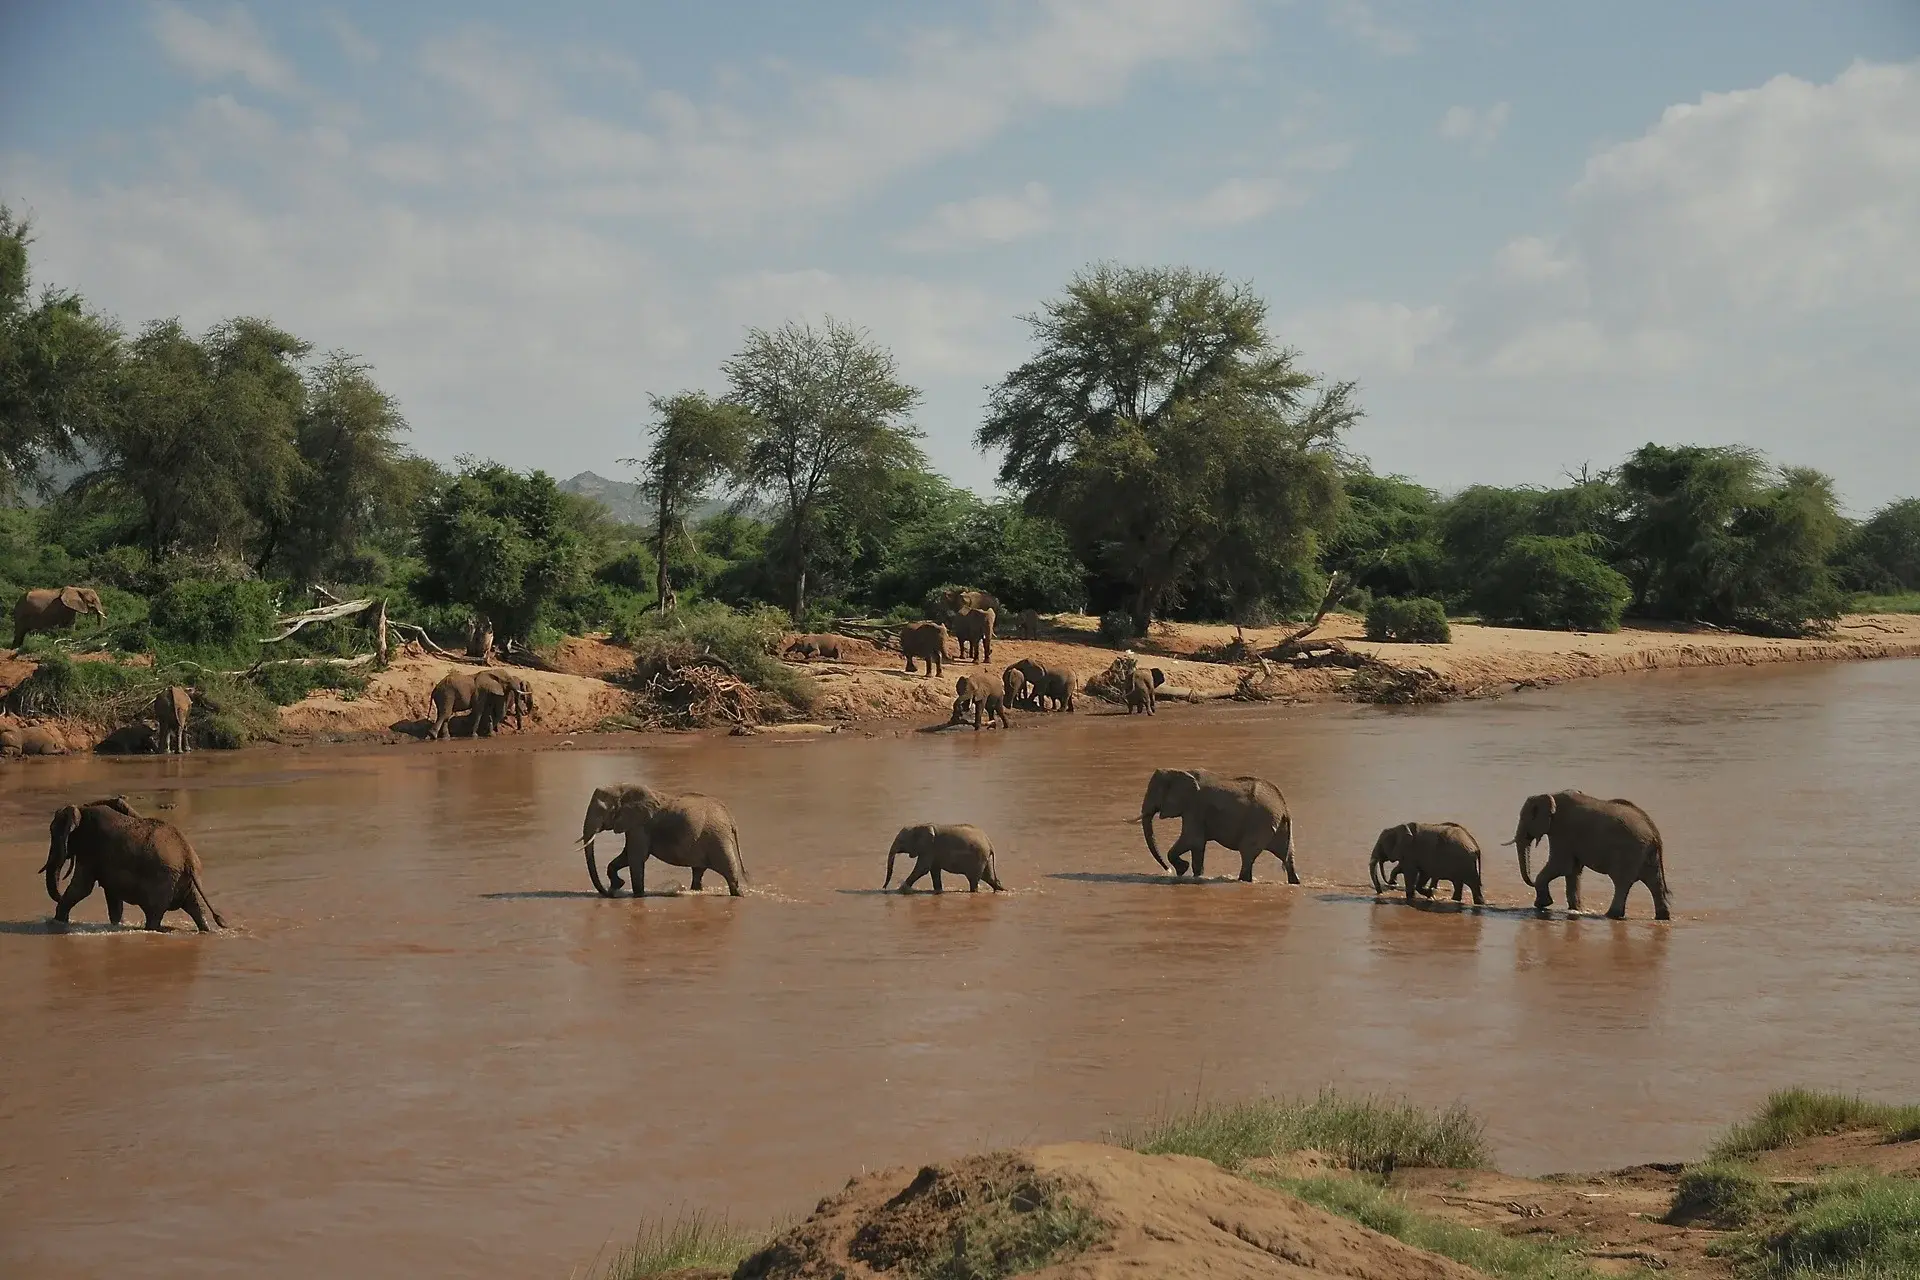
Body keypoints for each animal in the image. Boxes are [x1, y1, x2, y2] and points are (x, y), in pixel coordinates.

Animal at [44, 796, 227, 931]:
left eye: (53, 832)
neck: (82, 809)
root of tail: (188, 857)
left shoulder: (90, 849)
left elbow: (82, 888)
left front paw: (56, 923)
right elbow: (112, 895)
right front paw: (117, 925)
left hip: (163, 880)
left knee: (154, 915)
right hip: (185, 881)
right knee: (196, 908)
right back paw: (206, 930)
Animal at [578, 783, 748, 898]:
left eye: (601, 810)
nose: (608, 893)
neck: (622, 788)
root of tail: (731, 818)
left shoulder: (640, 826)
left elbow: (636, 858)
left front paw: (637, 896)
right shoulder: (634, 826)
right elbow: (627, 856)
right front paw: (618, 885)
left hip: (718, 839)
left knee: (728, 870)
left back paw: (739, 894)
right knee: (698, 871)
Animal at [1141, 767, 1298, 883]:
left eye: (1154, 792)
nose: (1168, 870)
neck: (1179, 771)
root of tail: (1284, 809)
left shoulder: (1194, 807)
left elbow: (1192, 840)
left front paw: (1182, 869)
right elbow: (1197, 845)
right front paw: (1195, 875)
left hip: (1260, 824)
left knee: (1247, 854)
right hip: (1279, 828)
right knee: (1288, 859)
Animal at [1512, 791, 1671, 920]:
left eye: (1524, 818)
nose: (1531, 881)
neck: (1550, 795)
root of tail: (1655, 833)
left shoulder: (1562, 831)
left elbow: (1561, 866)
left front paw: (1542, 904)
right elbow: (1572, 870)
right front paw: (1576, 910)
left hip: (1630, 852)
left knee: (1621, 882)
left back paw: (1611, 915)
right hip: (1649, 855)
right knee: (1654, 883)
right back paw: (1662, 917)